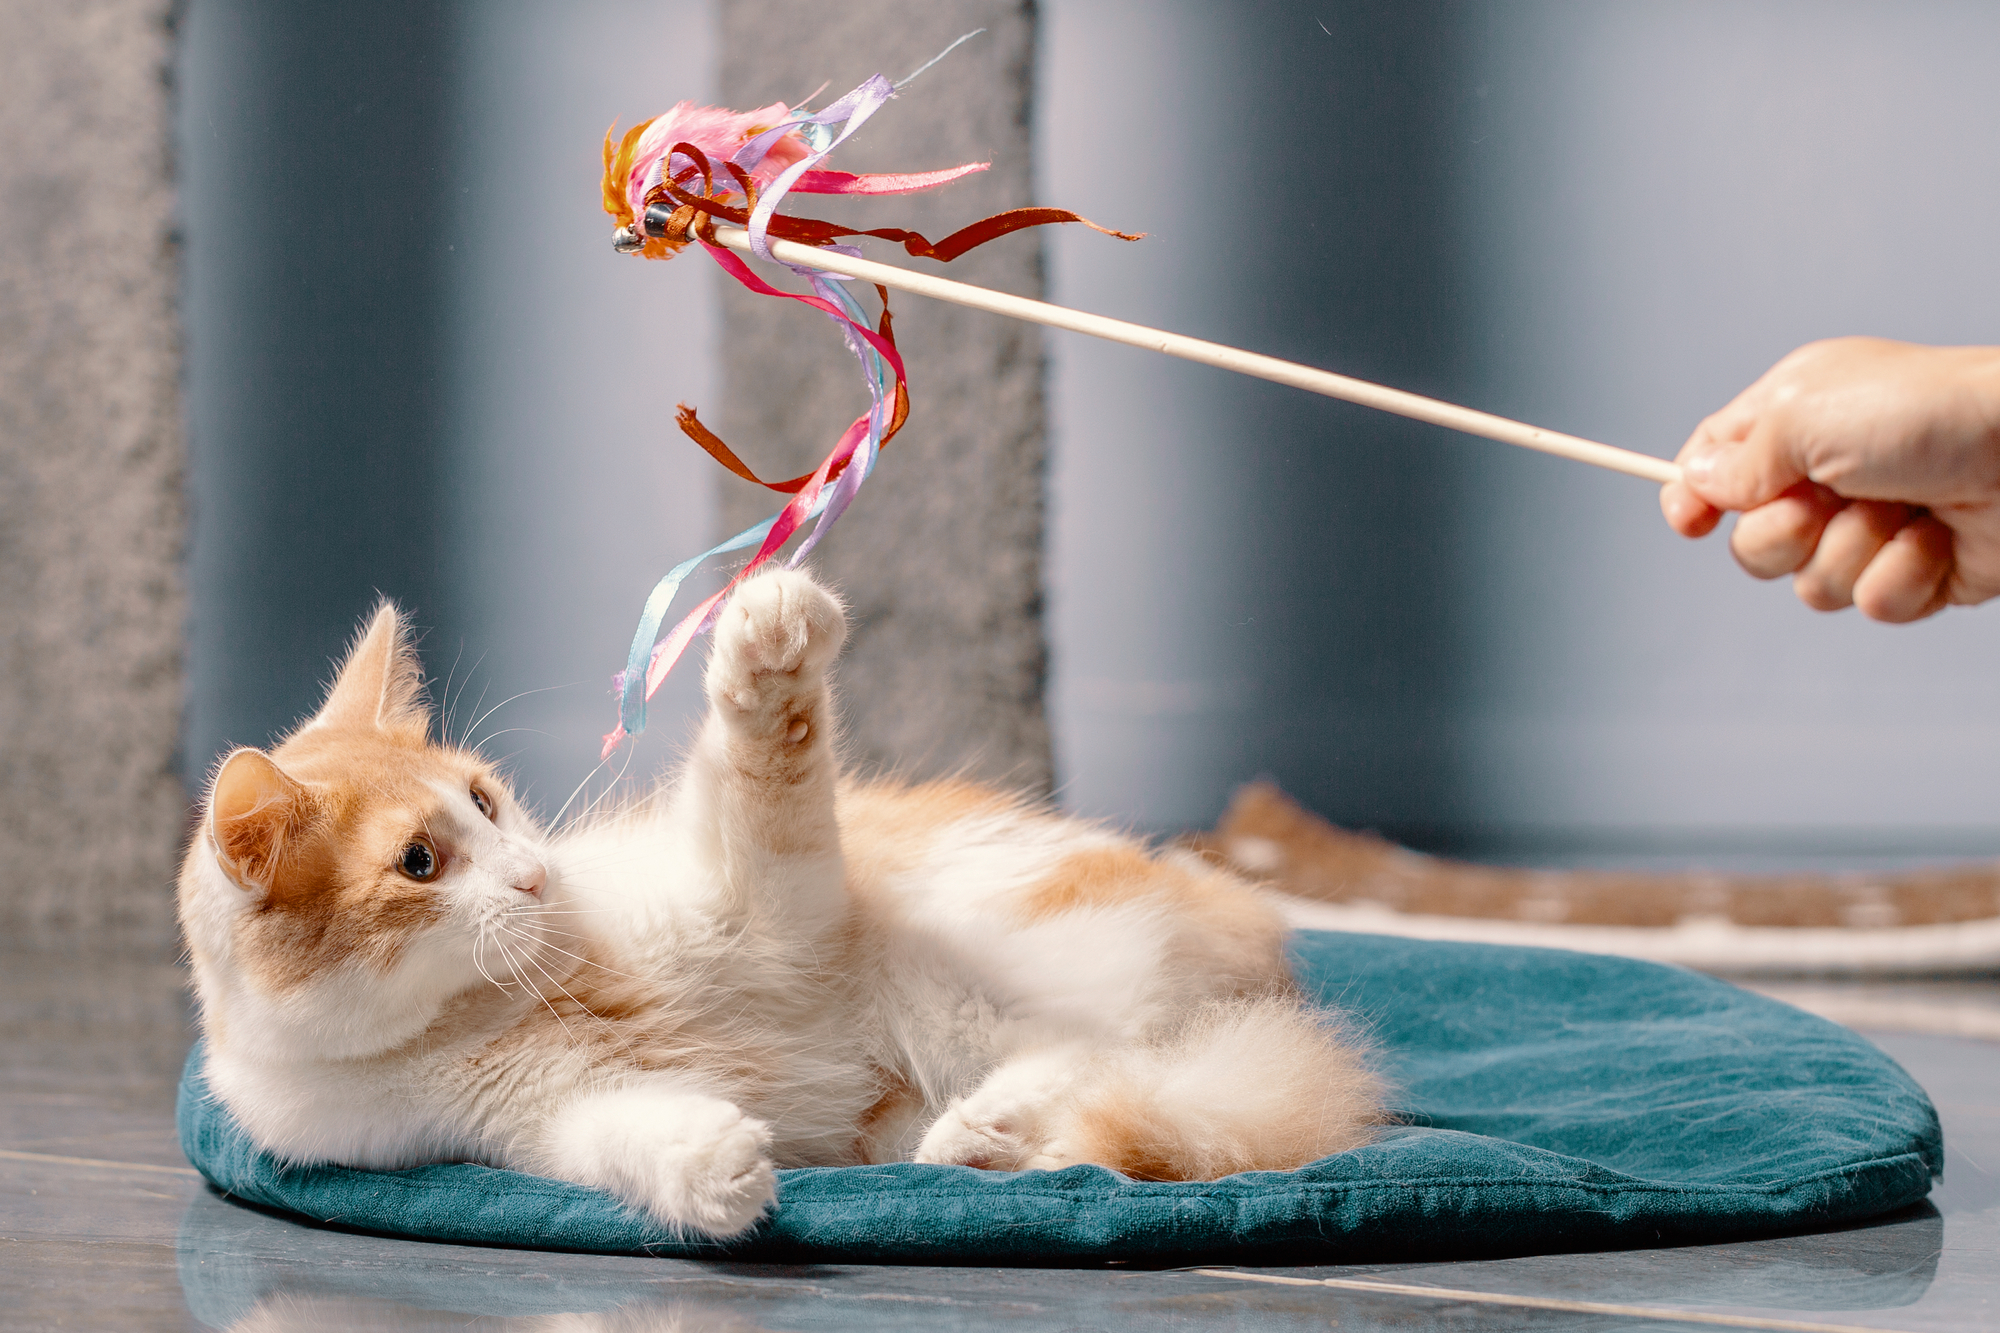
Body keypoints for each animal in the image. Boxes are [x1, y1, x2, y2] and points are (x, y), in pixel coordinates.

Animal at [180, 564, 1384, 1232]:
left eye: (484, 798)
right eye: (420, 863)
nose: (533, 874)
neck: (503, 1002)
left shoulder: (767, 906)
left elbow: (763, 775)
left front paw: (766, 642)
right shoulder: (519, 1128)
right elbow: (621, 1138)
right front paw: (712, 1170)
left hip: (969, 969)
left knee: (1126, 1057)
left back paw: (994, 1126)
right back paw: (987, 1142)